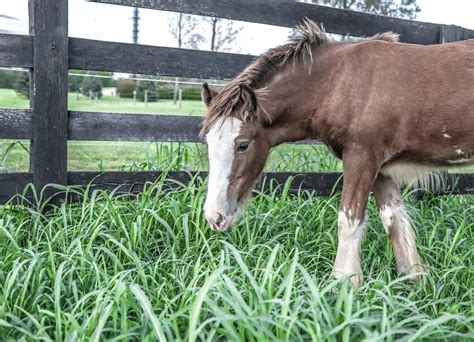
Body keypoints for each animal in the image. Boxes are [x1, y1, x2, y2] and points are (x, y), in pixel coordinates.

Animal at [201, 18, 474, 286]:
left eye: (243, 144)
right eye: (208, 143)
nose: (215, 217)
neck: (337, 82)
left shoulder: (361, 156)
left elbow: (349, 219)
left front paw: (343, 284)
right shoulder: (381, 168)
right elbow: (394, 219)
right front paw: (415, 282)